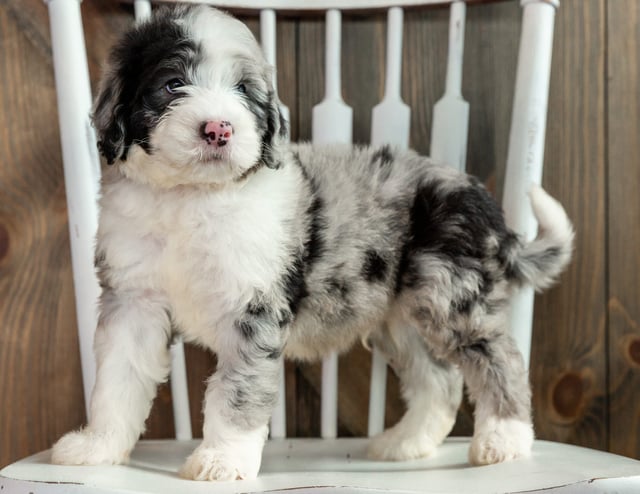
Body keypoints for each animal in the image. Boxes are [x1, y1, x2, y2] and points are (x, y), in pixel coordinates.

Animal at [51, 3, 576, 482]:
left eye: (243, 91)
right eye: (172, 84)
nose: (219, 129)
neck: (191, 198)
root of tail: (481, 198)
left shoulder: (253, 307)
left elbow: (238, 391)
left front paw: (223, 461)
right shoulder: (132, 301)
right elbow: (116, 382)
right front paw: (96, 448)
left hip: (450, 294)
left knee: (498, 356)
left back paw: (504, 440)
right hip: (401, 318)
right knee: (438, 381)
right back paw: (405, 444)